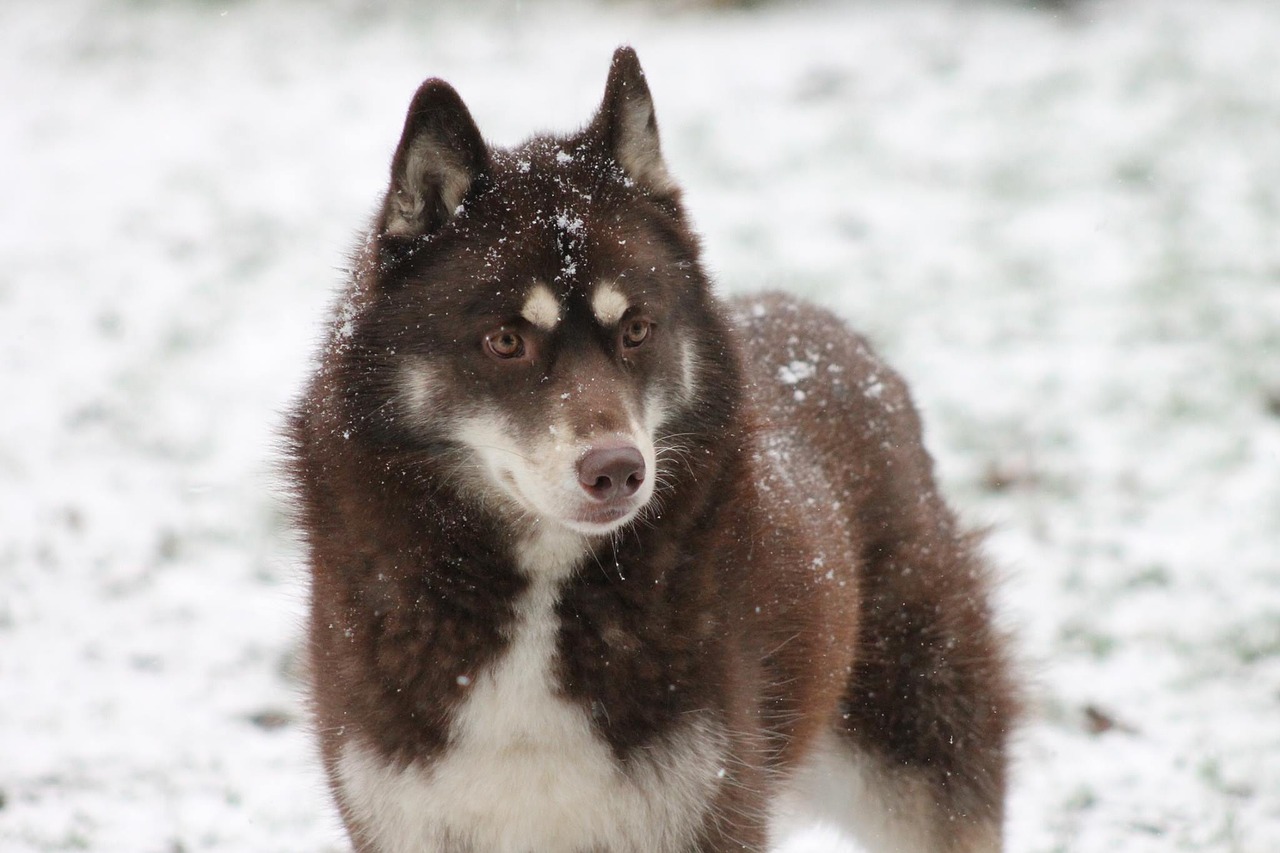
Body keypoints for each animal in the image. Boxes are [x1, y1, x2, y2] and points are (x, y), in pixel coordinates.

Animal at [290, 46, 1018, 850]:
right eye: (506, 340)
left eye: (636, 329)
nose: (618, 470)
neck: (539, 595)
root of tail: (842, 337)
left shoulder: (705, 806)